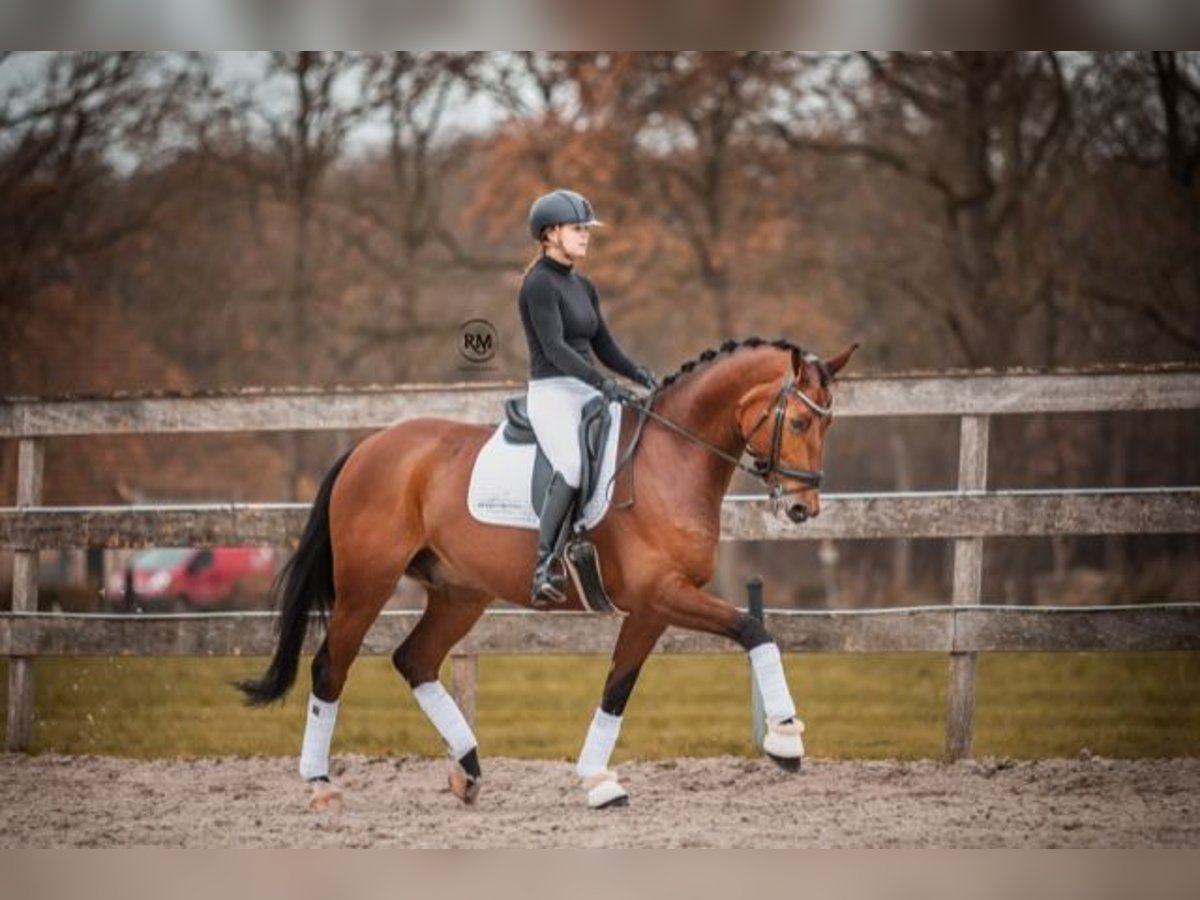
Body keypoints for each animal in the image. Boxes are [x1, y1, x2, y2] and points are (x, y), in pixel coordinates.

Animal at [236, 336, 854, 811]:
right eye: (801, 420)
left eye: (829, 426)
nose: (803, 508)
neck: (672, 458)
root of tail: (368, 448)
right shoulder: (663, 595)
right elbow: (755, 630)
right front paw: (785, 741)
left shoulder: (652, 608)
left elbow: (617, 688)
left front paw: (598, 780)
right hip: (368, 586)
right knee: (329, 667)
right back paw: (321, 784)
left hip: (460, 594)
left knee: (415, 660)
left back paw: (468, 770)